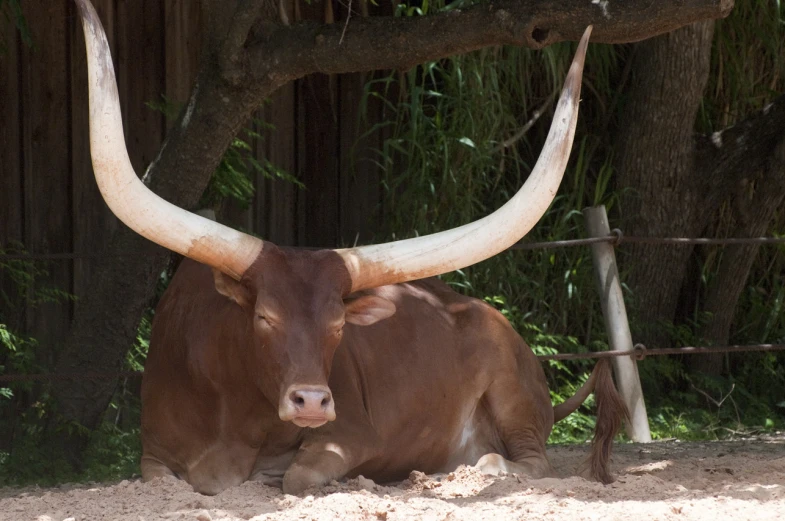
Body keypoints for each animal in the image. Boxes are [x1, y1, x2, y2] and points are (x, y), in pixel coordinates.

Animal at [73, 0, 624, 496]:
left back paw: (476, 465)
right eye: (264, 318)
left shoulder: (353, 434)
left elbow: (299, 474)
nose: (313, 402)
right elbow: (162, 477)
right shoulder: (153, 455)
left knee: (530, 460)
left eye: (338, 325)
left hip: (514, 400)